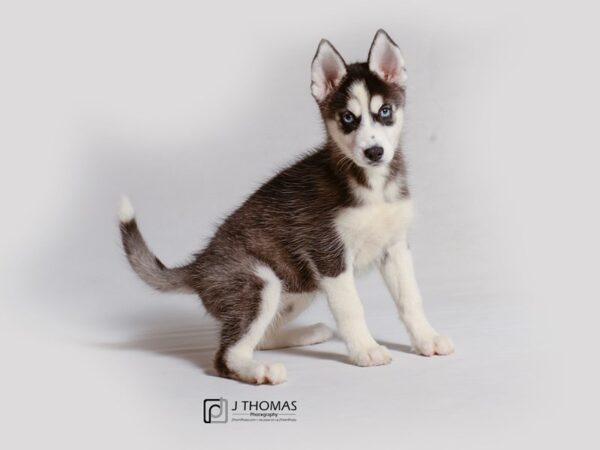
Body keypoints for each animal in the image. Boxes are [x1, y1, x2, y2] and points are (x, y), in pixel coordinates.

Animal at [119, 29, 452, 384]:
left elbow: (410, 298)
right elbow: (351, 307)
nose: (374, 152)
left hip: (297, 288)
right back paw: (259, 370)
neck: (371, 185)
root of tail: (198, 267)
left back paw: (308, 333)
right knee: (226, 356)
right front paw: (365, 349)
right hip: (260, 283)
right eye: (348, 118)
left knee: (261, 338)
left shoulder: (395, 247)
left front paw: (427, 339)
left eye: (385, 111)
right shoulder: (328, 255)